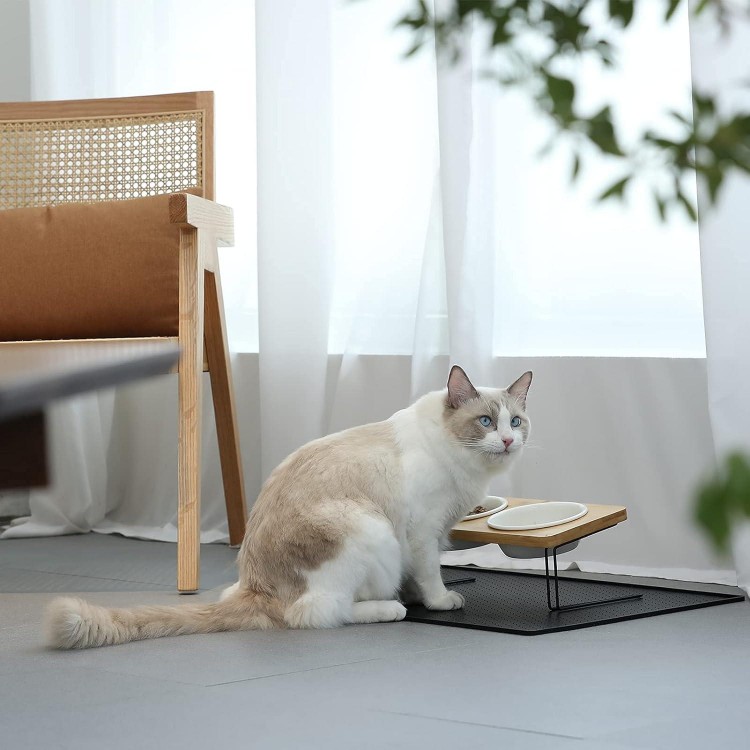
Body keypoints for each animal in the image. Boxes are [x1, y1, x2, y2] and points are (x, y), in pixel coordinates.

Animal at [47, 368, 532, 648]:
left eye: (515, 421)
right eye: (485, 423)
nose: (510, 441)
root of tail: (252, 586)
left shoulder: (427, 537)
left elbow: (418, 577)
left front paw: (418, 596)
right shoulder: (422, 533)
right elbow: (431, 576)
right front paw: (439, 602)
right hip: (370, 529)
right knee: (318, 614)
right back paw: (388, 608)